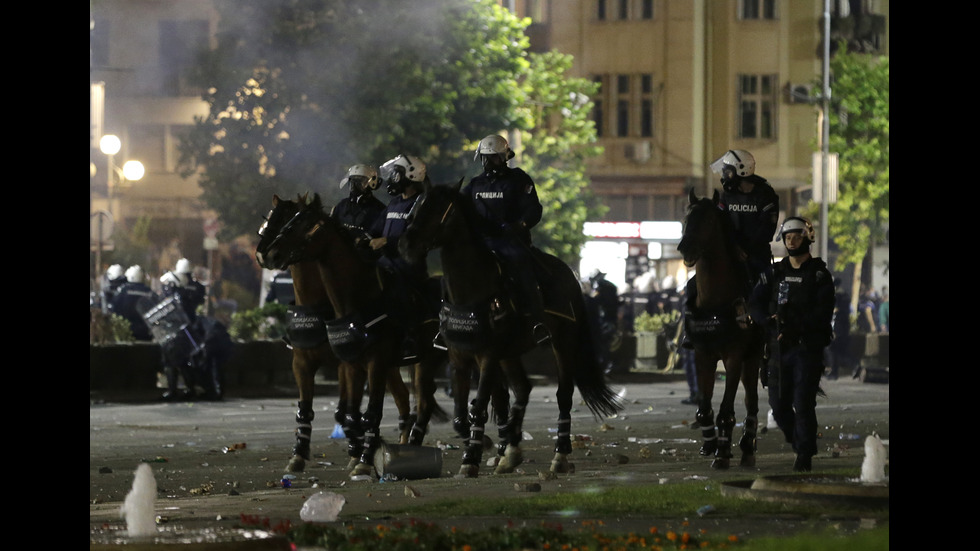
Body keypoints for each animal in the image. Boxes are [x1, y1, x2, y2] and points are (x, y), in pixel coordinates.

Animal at [255, 193, 450, 478]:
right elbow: (309, 410)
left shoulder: (358, 364)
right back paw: (403, 446)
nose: (267, 254)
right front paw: (299, 456)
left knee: (423, 405)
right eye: (270, 220)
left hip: (427, 362)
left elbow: (354, 413)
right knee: (406, 402)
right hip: (398, 367)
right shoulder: (307, 362)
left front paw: (362, 456)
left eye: (303, 224)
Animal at [398, 181, 620, 478]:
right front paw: (488, 446)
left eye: (437, 208)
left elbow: (479, 405)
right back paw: (511, 447)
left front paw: (471, 457)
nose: (405, 245)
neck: (470, 290)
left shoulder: (488, 355)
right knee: (521, 389)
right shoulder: (459, 357)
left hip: (562, 342)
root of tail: (569, 274)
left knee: (563, 395)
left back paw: (559, 454)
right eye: (418, 204)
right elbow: (461, 414)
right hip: (508, 354)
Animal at [676, 190, 768, 470]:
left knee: (752, 403)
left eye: (707, 221)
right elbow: (704, 406)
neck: (714, 301)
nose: (684, 248)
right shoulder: (702, 356)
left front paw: (723, 454)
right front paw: (710, 444)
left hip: (752, 358)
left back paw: (748, 447)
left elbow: (726, 411)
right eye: (685, 218)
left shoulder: (733, 358)